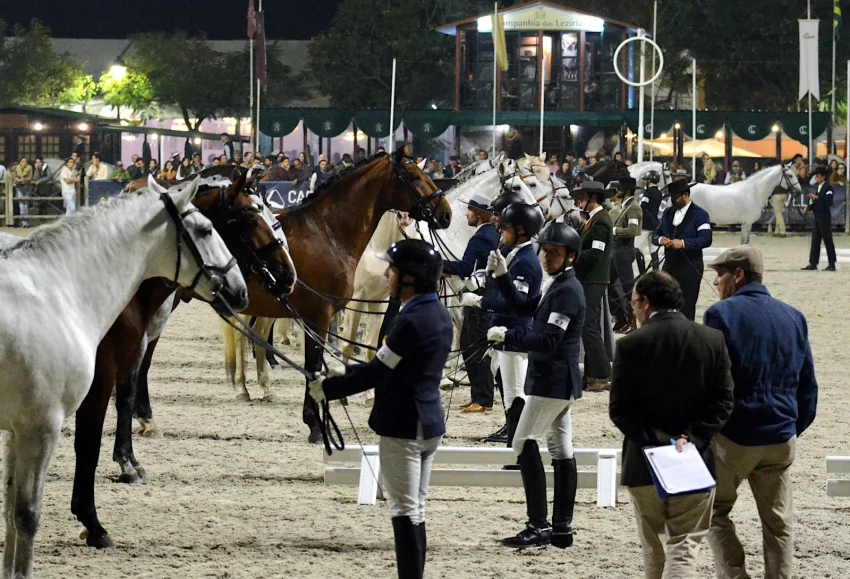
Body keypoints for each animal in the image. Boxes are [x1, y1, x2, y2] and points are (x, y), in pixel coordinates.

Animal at [0, 180, 248, 576]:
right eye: (206, 230)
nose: (240, 290)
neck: (55, 291)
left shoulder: (16, 429)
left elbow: (10, 513)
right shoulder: (42, 426)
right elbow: (27, 514)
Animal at [68, 170, 296, 552]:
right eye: (250, 217)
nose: (287, 274)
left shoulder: (136, 347)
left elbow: (126, 398)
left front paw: (129, 462)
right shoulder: (110, 363)